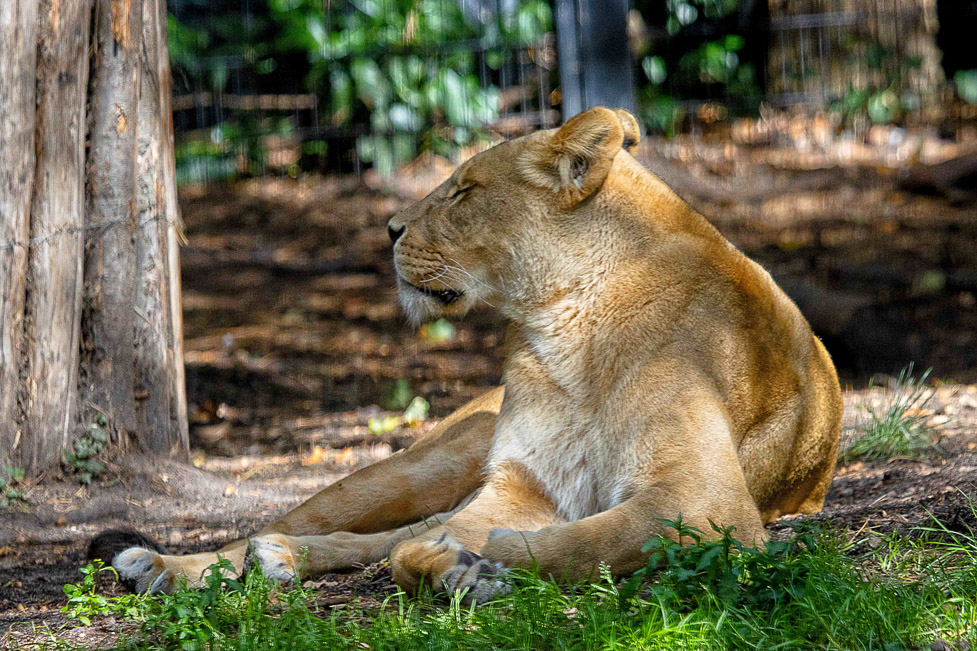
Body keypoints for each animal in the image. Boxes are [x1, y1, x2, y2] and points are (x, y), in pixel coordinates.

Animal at [95, 107, 842, 604]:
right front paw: (462, 564)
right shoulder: (521, 483)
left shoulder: (705, 498)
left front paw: (480, 563)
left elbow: (590, 536)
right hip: (421, 463)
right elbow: (428, 542)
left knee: (388, 535)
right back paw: (170, 564)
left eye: (463, 190)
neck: (562, 324)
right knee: (314, 521)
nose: (389, 228)